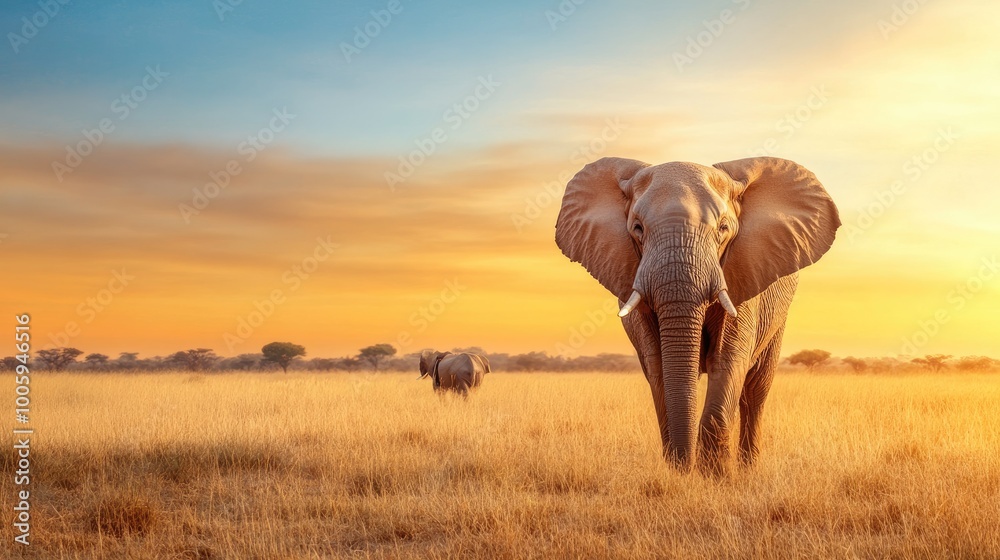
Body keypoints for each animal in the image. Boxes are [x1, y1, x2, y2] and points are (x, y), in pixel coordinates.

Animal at [555, 156, 840, 473]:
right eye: (638, 228)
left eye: (724, 228)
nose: (686, 466)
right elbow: (658, 367)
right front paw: (680, 473)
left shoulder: (741, 273)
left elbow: (727, 362)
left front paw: (717, 477)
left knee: (756, 392)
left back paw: (748, 470)